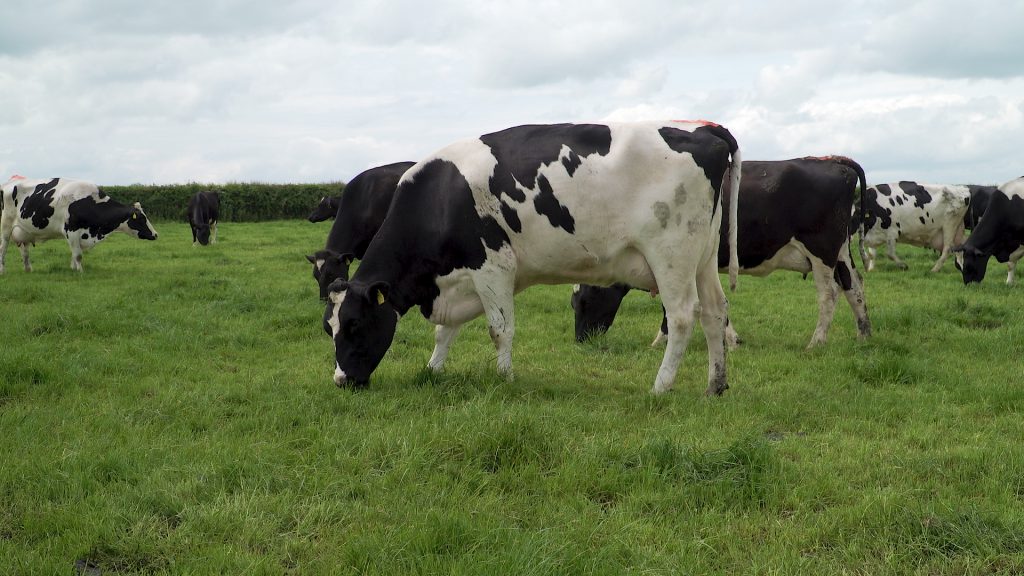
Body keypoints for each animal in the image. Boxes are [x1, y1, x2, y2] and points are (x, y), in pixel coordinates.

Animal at [1, 176, 158, 273]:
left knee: (25, 252)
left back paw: (28, 270)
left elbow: (74, 254)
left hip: (24, 232)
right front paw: (81, 272)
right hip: (5, 226)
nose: (156, 234)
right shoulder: (71, 231)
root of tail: (7, 183)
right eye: (141, 218)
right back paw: (3, 271)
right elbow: (78, 255)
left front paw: (73, 269)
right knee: (3, 248)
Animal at [323, 120, 742, 396]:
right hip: (703, 258)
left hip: (671, 255)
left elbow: (499, 330)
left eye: (355, 325)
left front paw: (505, 379)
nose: (341, 381)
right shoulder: (458, 278)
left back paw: (660, 386)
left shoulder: (493, 267)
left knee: (683, 316)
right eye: (329, 329)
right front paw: (433, 369)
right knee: (715, 311)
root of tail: (702, 131)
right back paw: (716, 385)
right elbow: (445, 331)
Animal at [571, 156, 872, 349]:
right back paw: (863, 335)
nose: (581, 341)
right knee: (854, 287)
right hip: (841, 252)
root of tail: (832, 162)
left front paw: (663, 340)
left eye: (585, 301)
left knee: (829, 294)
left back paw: (816, 342)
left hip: (821, 250)